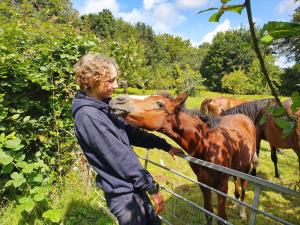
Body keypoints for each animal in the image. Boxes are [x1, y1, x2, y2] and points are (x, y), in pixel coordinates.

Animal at [110, 92, 258, 224]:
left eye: (160, 104)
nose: (116, 100)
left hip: (246, 168)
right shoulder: (203, 183)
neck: (207, 145)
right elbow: (208, 213)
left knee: (243, 188)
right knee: (236, 182)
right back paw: (235, 204)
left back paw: (242, 213)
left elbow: (221, 218)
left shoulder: (221, 186)